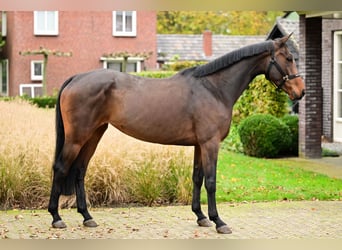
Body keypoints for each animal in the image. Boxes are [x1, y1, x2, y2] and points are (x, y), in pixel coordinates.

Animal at [47, 34, 304, 233]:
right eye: (289, 58)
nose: (300, 92)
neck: (213, 88)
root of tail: (76, 77)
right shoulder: (210, 144)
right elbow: (211, 181)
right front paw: (219, 221)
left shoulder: (200, 145)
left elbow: (197, 178)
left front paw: (201, 217)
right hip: (77, 138)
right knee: (61, 168)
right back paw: (56, 218)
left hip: (94, 134)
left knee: (80, 171)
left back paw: (87, 217)